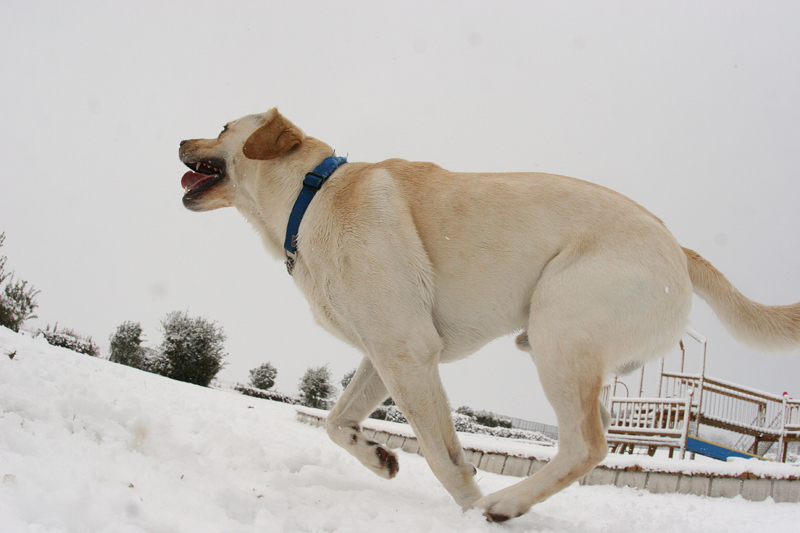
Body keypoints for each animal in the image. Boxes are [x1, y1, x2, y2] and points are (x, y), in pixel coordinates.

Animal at [180, 108, 800, 520]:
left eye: (223, 126)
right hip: (573, 353)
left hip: (557, 330)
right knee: (590, 437)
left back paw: (501, 505)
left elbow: (441, 453)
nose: (180, 138)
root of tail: (677, 246)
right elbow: (337, 422)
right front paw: (379, 457)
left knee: (587, 445)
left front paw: (468, 501)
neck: (313, 195)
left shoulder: (408, 352)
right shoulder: (384, 354)